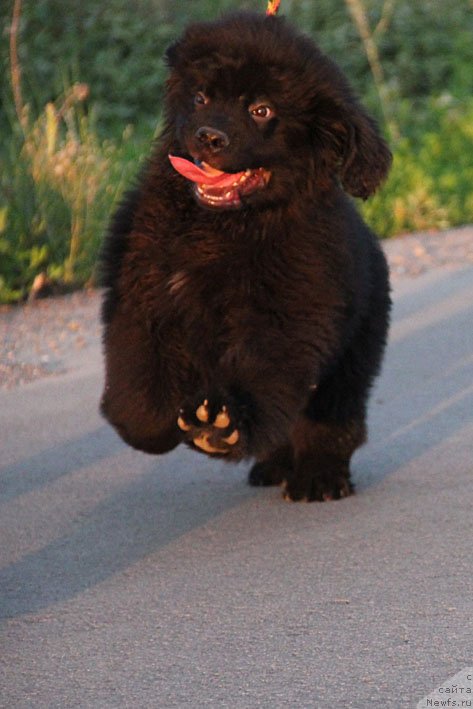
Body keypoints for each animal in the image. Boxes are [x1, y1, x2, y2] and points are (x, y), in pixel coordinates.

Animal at [99, 9, 390, 498]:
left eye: (261, 110)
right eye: (200, 97)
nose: (209, 137)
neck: (223, 228)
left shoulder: (283, 314)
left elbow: (259, 372)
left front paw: (219, 427)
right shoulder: (143, 297)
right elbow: (136, 379)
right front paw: (152, 428)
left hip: (351, 356)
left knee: (333, 422)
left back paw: (319, 477)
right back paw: (272, 467)